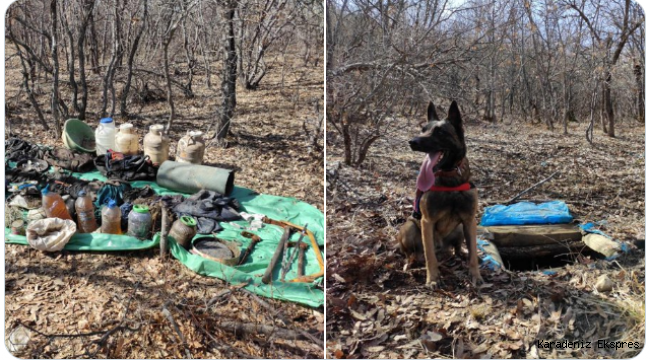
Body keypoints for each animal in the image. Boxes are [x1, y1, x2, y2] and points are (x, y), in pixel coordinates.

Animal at [394, 100, 480, 286]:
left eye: (440, 132)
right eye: (423, 129)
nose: (412, 142)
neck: (450, 181)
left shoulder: (469, 221)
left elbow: (474, 253)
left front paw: (476, 276)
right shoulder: (427, 221)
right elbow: (430, 256)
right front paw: (433, 279)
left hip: (459, 229)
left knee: (457, 248)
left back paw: (461, 253)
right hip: (410, 227)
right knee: (412, 253)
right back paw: (411, 263)